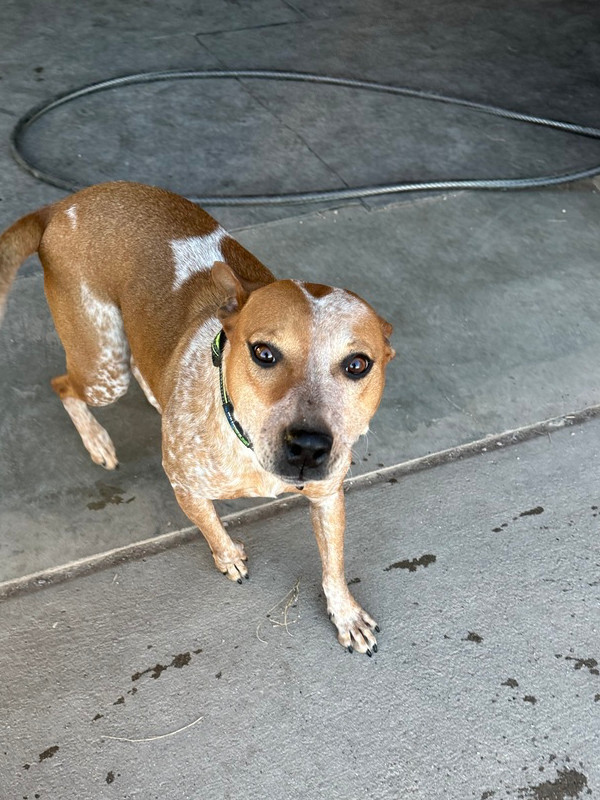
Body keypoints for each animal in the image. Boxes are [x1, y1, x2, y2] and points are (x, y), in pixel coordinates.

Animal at [0, 183, 396, 656]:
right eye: (264, 353)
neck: (245, 445)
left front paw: (346, 614)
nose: (309, 447)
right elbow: (209, 524)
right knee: (62, 385)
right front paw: (228, 557)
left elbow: (333, 564)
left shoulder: (328, 495)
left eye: (358, 364)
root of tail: (61, 205)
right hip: (103, 367)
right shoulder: (183, 483)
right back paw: (97, 439)